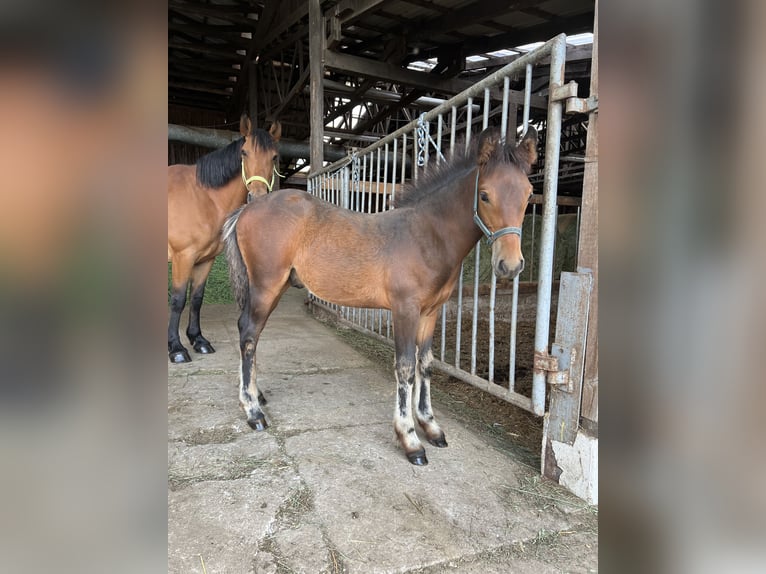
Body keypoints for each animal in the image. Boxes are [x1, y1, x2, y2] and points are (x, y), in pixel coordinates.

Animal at [167, 115, 281, 363]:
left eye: (275, 156)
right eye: (244, 153)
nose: (257, 197)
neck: (203, 196)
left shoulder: (204, 260)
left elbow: (197, 299)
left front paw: (198, 340)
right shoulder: (183, 257)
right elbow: (178, 300)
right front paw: (176, 349)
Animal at [223, 126, 537, 465]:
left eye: (528, 195)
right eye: (485, 195)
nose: (510, 266)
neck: (426, 236)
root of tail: (246, 209)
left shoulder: (431, 312)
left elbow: (426, 363)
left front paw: (431, 426)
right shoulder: (405, 309)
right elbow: (405, 367)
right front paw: (410, 439)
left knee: (251, 333)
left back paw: (257, 395)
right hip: (266, 285)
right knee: (248, 333)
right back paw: (253, 411)